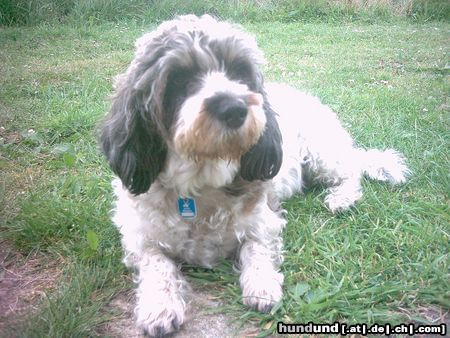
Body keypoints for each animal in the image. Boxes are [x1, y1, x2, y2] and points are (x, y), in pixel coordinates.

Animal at [100, 14, 410, 336]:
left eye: (239, 72)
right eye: (180, 78)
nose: (233, 107)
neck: (202, 182)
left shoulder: (264, 221)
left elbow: (257, 250)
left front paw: (262, 285)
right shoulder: (139, 236)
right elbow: (157, 264)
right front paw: (158, 305)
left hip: (322, 153)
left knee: (351, 172)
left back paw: (342, 198)